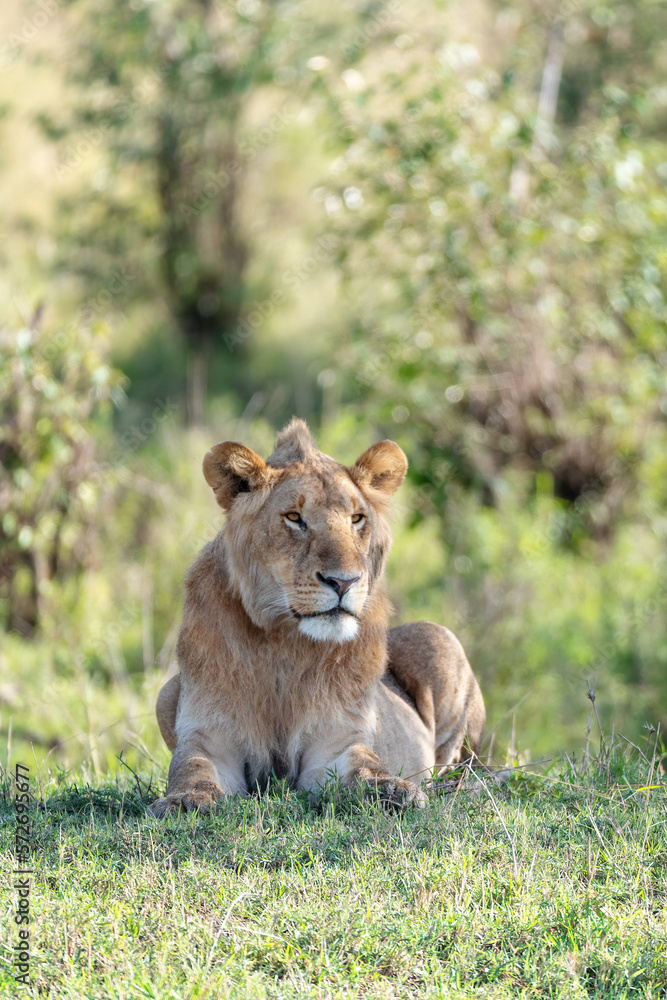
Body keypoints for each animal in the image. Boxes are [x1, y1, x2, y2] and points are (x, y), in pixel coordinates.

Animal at [149, 419, 485, 815]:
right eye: (295, 518)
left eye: (357, 519)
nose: (344, 581)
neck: (284, 640)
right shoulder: (209, 737)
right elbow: (193, 768)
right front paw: (185, 800)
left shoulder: (337, 740)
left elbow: (365, 766)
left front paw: (392, 790)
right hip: (167, 692)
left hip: (439, 639)